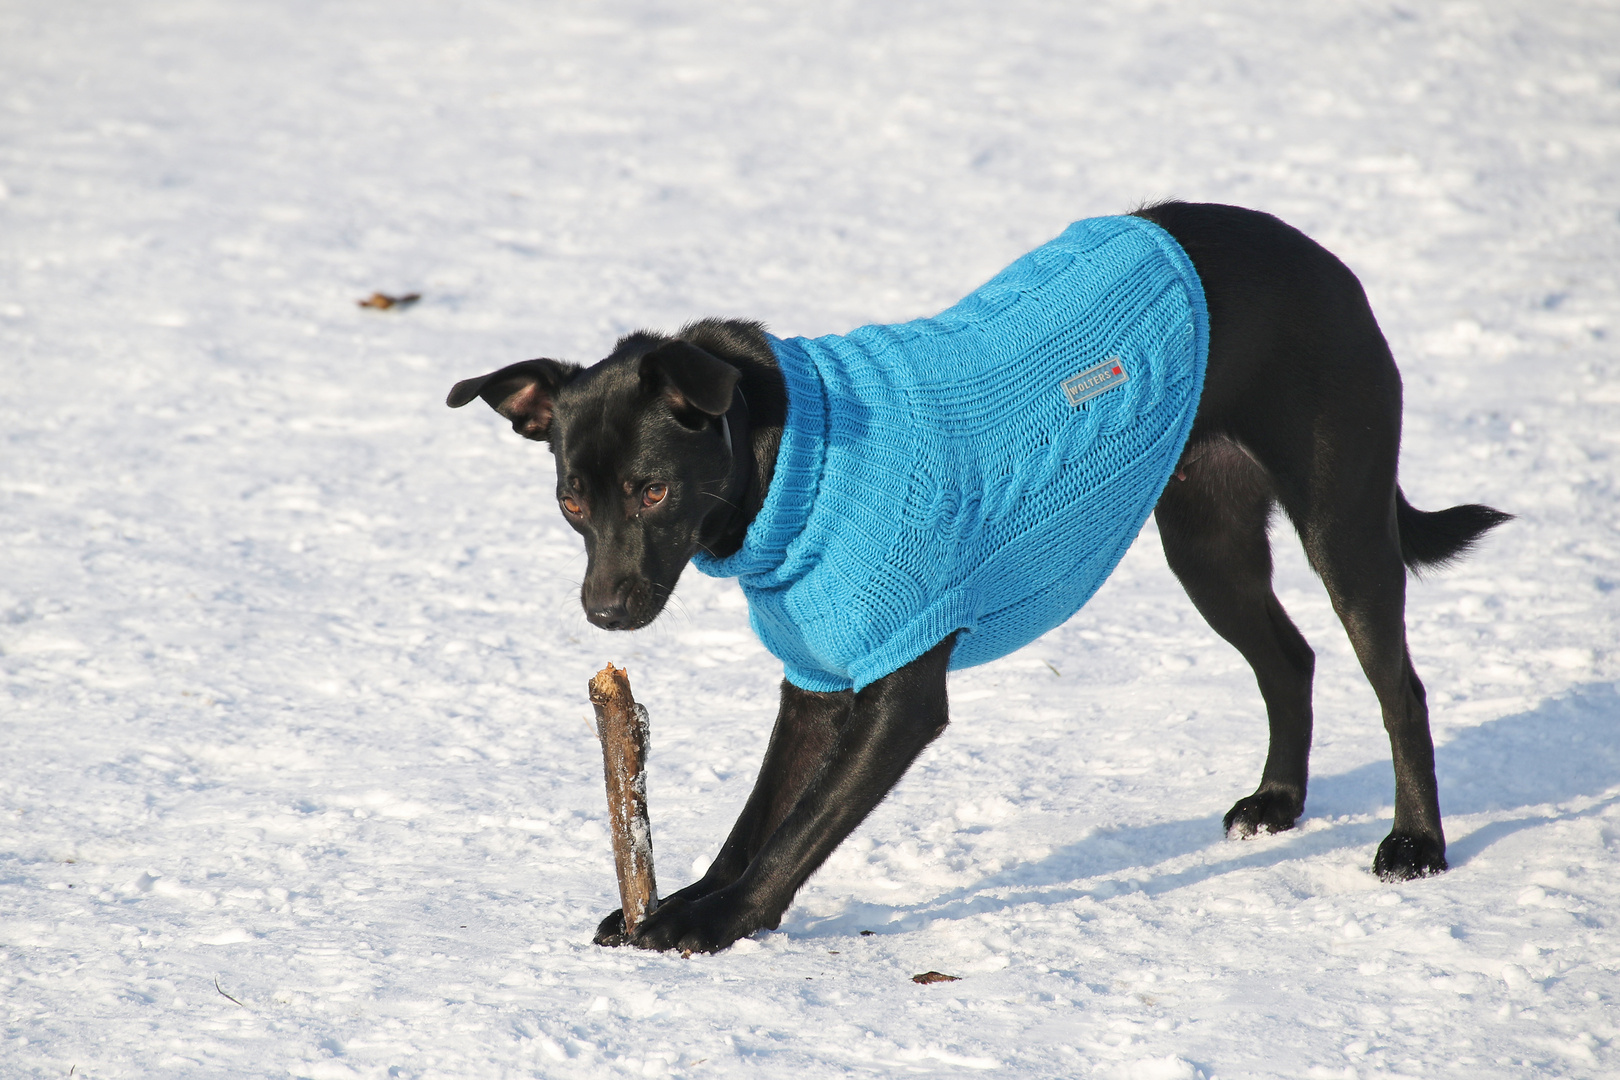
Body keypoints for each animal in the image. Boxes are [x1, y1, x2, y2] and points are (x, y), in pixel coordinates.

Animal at [443, 202, 1503, 952]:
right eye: (571, 501)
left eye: (653, 489)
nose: (604, 611)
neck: (792, 465)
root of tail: (1324, 259)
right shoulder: (817, 681)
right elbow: (758, 816)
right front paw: (687, 903)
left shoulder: (899, 690)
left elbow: (800, 829)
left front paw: (712, 924)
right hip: (1205, 535)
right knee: (1288, 659)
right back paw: (1278, 802)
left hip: (1341, 515)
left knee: (1397, 683)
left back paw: (1416, 844)